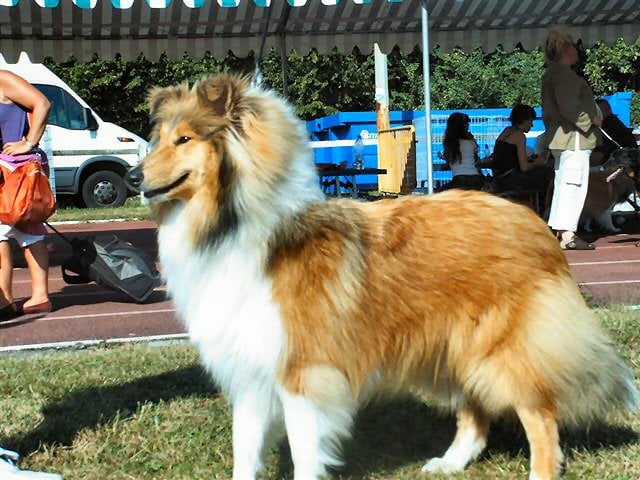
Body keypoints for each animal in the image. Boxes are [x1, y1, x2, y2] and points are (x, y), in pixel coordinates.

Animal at [126, 75, 640, 480]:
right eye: (159, 138)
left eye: (185, 140)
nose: (130, 177)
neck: (233, 229)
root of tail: (532, 222)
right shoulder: (252, 372)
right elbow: (245, 453)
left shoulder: (304, 373)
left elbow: (305, 451)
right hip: (457, 348)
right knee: (475, 415)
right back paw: (449, 464)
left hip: (501, 349)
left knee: (541, 415)